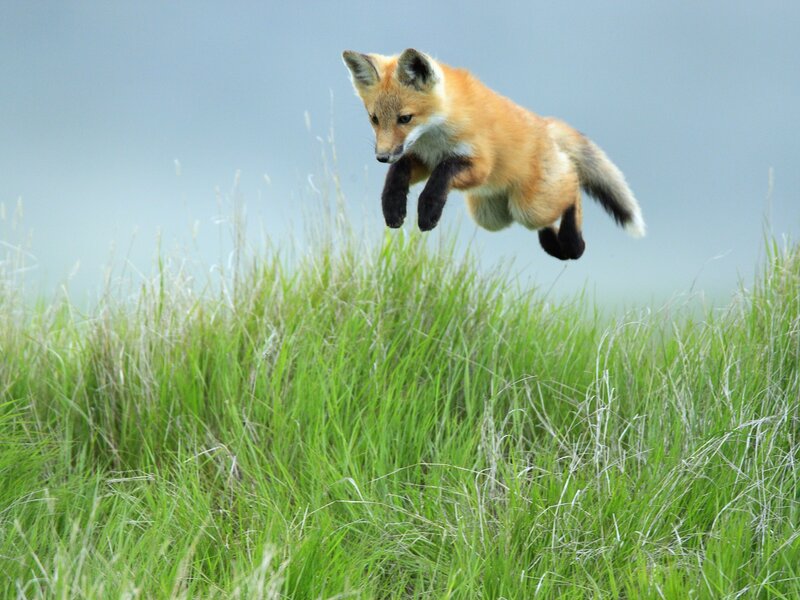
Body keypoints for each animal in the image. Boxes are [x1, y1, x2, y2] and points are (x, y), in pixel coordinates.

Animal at [342, 48, 645, 260]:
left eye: (405, 118)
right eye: (374, 119)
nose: (381, 157)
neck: (435, 137)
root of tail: (546, 124)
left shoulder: (478, 165)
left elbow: (443, 173)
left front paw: (428, 209)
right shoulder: (420, 158)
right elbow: (398, 173)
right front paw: (393, 205)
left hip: (530, 206)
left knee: (573, 187)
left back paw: (574, 243)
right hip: (492, 216)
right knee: (546, 218)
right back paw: (555, 246)